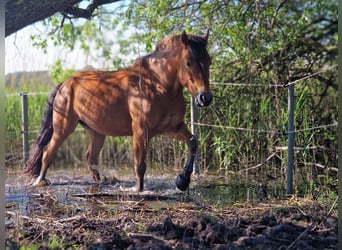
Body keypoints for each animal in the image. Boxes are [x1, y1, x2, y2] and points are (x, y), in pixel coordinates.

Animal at [23, 31, 211, 191]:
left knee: (90, 157)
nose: (205, 98)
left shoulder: (171, 128)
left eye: (209, 60)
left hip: (97, 132)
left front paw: (183, 180)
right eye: (189, 62)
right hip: (63, 129)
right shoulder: (141, 131)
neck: (157, 84)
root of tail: (66, 83)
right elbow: (140, 165)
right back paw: (40, 181)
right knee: (47, 152)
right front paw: (139, 191)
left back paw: (100, 181)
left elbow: (193, 142)